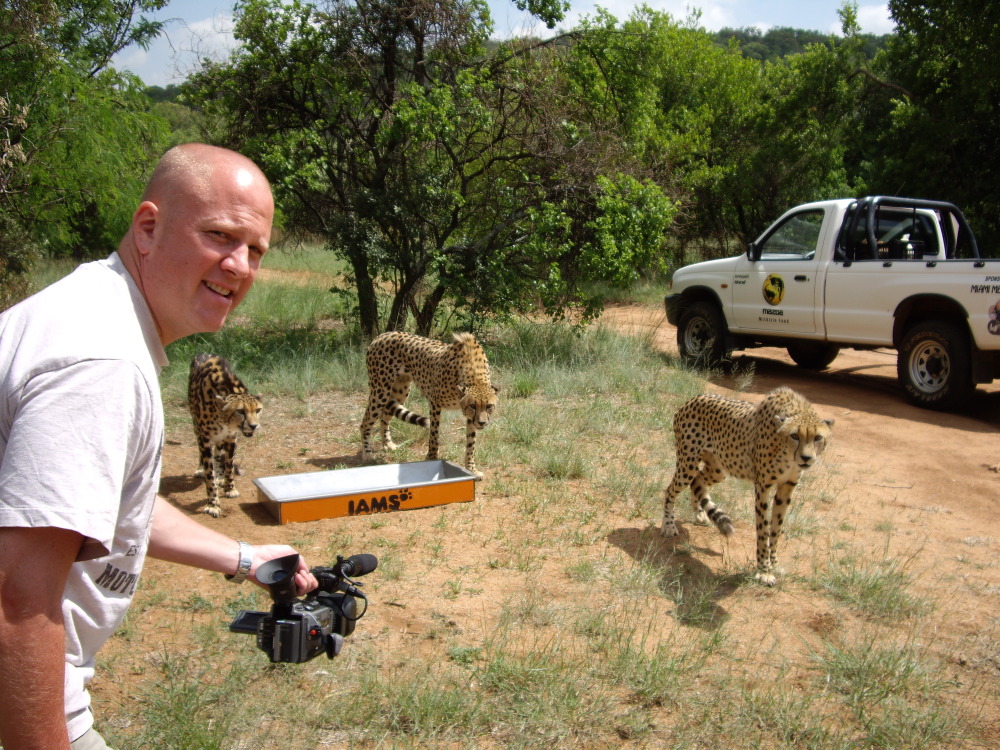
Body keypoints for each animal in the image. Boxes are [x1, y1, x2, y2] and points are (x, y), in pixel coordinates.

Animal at [188, 356, 264, 520]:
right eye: (240, 411)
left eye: (258, 410)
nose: (254, 426)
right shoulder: (204, 438)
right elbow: (209, 474)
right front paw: (213, 504)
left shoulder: (231, 437)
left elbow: (229, 465)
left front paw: (229, 488)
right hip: (196, 427)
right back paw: (201, 470)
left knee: (218, 453)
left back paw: (220, 476)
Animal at [360, 332, 500, 478]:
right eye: (472, 406)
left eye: (489, 406)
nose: (482, 423)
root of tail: (382, 335)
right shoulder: (435, 402)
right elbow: (434, 434)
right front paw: (432, 457)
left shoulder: (469, 415)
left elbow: (471, 442)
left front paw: (471, 468)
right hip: (380, 390)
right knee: (366, 421)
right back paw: (367, 454)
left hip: (400, 391)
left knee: (385, 416)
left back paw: (388, 444)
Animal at [660, 388, 832, 588]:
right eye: (795, 435)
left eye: (818, 437)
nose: (806, 458)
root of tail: (693, 398)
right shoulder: (763, 486)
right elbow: (763, 530)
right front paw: (764, 571)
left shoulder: (787, 486)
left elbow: (776, 528)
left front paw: (774, 564)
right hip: (688, 464)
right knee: (671, 490)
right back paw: (668, 525)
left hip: (719, 468)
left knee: (697, 482)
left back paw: (700, 514)